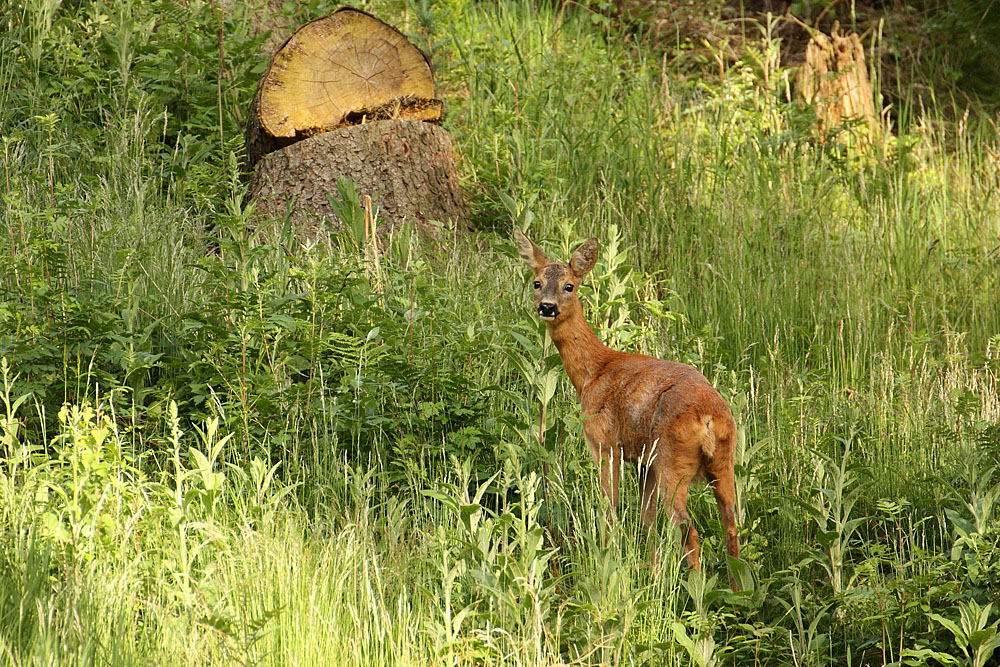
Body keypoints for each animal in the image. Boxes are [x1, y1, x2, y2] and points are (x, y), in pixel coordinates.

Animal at [516, 228, 744, 588]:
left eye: (569, 285)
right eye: (537, 282)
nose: (547, 307)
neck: (593, 373)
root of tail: (708, 418)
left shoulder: (605, 444)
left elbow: (609, 511)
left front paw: (608, 563)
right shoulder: (642, 461)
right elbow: (645, 520)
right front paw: (650, 573)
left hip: (672, 462)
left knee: (688, 530)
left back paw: (696, 596)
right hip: (723, 460)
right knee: (731, 526)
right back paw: (737, 594)